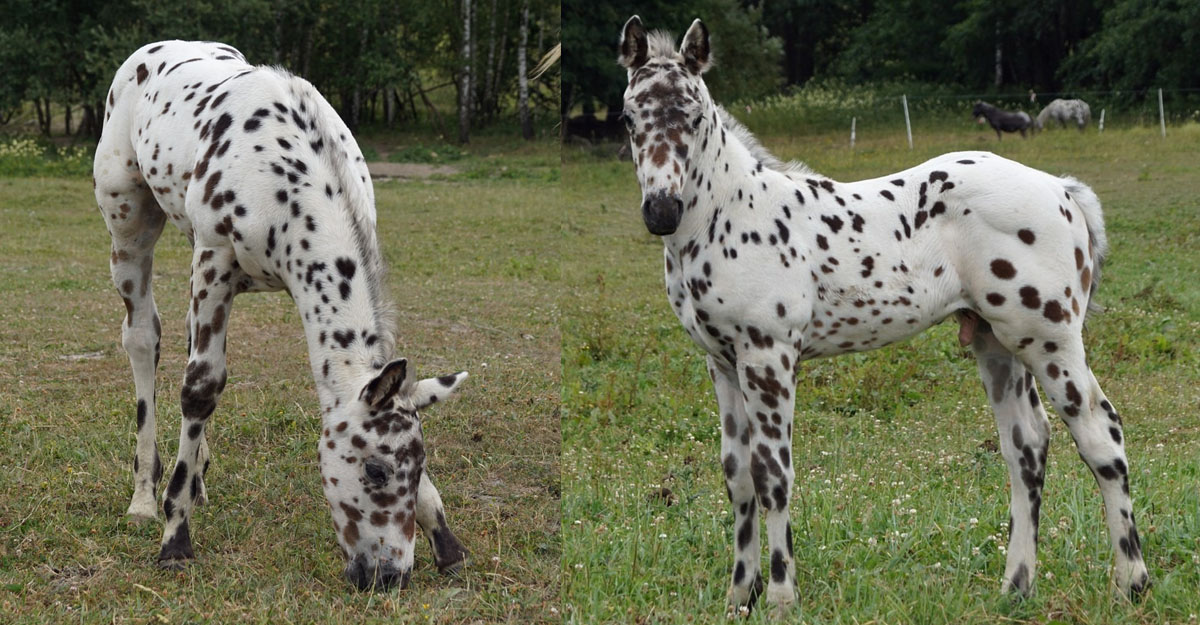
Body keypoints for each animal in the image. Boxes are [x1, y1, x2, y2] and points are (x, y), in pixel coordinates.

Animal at [96, 41, 470, 587]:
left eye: (417, 468)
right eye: (374, 471)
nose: (389, 574)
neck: (289, 177)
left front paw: (447, 541)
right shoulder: (214, 260)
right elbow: (200, 388)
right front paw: (175, 538)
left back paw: (198, 482)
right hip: (130, 227)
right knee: (143, 339)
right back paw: (145, 496)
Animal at [619, 17, 1152, 614]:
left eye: (695, 114)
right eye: (628, 117)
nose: (662, 211)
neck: (731, 213)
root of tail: (1061, 188)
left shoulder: (769, 356)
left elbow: (772, 475)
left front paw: (780, 597)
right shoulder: (722, 362)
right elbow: (737, 476)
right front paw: (739, 595)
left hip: (1049, 339)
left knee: (1101, 435)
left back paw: (1130, 583)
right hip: (996, 342)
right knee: (1027, 448)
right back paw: (1015, 587)